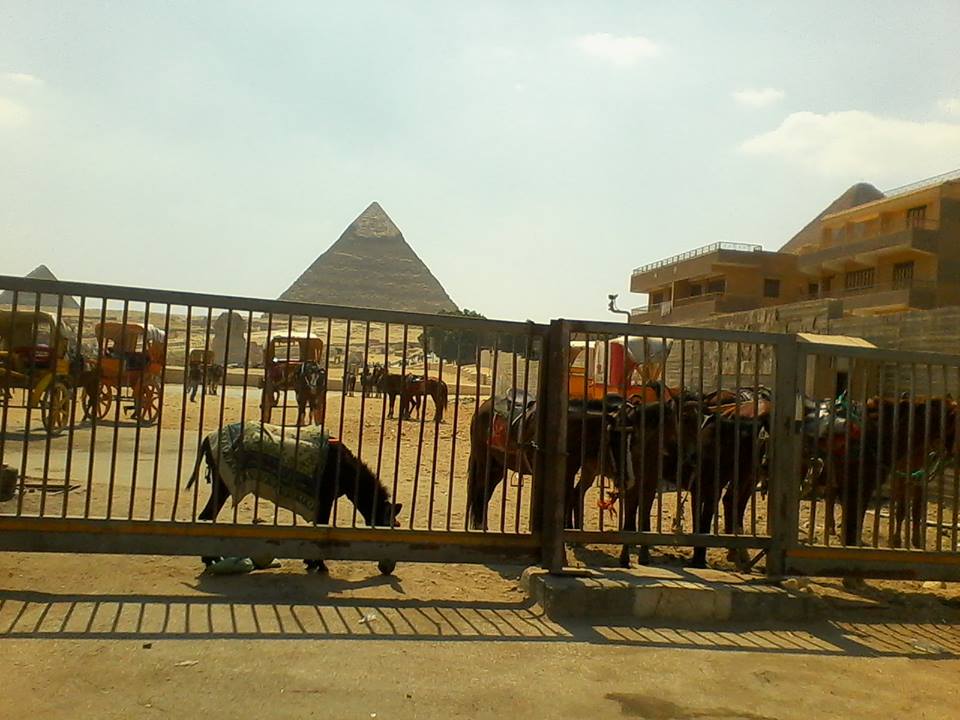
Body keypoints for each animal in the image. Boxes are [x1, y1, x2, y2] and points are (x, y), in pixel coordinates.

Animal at [186, 421, 402, 575]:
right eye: (390, 524)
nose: (388, 567)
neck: (346, 471)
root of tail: (208, 438)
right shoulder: (326, 499)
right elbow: (321, 527)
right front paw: (319, 564)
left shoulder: (322, 501)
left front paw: (311, 562)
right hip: (222, 485)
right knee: (206, 516)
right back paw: (210, 559)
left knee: (206, 516)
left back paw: (212, 559)